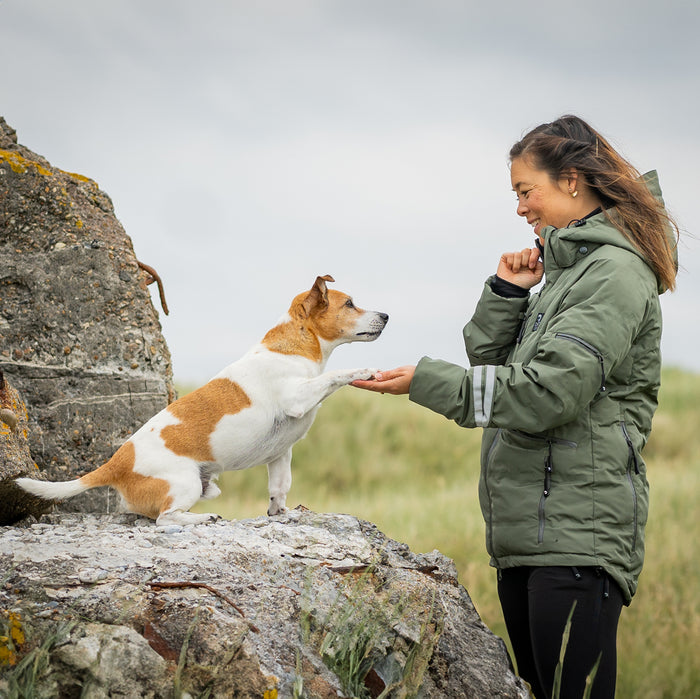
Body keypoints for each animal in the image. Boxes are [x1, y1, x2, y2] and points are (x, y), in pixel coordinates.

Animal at [15, 276, 388, 528]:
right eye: (349, 303)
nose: (386, 316)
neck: (294, 348)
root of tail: (115, 464)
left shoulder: (281, 454)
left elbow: (279, 489)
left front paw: (281, 514)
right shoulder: (297, 396)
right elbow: (335, 375)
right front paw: (365, 370)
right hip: (186, 484)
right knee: (165, 519)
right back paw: (202, 519)